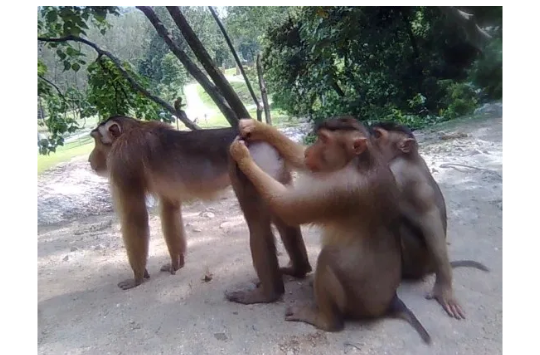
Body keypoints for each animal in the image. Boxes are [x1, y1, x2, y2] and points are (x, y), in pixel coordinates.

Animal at [88, 117, 312, 292]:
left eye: (96, 140)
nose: (90, 160)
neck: (131, 128)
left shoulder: (122, 161)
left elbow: (135, 216)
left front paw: (137, 277)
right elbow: (170, 207)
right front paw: (176, 262)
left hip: (251, 166)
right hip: (273, 167)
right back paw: (299, 269)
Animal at [230, 117, 432, 344]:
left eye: (324, 140)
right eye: (318, 139)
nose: (311, 150)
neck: (359, 161)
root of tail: (391, 301)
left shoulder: (341, 189)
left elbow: (289, 208)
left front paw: (243, 157)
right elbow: (300, 161)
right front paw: (255, 127)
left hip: (361, 302)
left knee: (328, 260)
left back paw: (327, 321)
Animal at [372, 121, 490, 320]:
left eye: (377, 135)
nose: (367, 142)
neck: (408, 157)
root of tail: (428, 267)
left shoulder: (398, 173)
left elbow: (430, 223)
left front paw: (443, 291)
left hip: (415, 261)